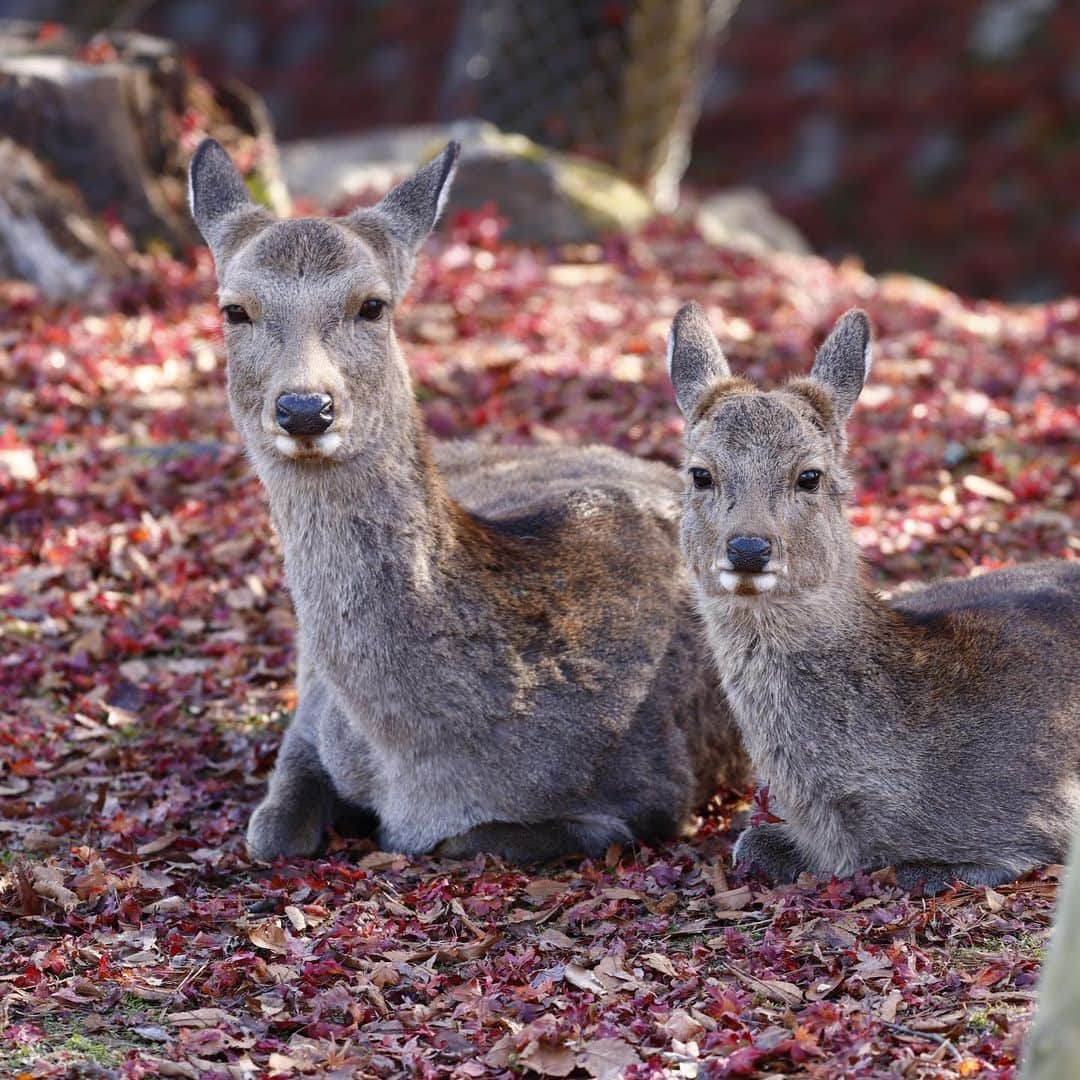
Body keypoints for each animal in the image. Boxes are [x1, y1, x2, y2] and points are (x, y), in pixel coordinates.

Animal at [185, 141, 747, 868]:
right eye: (234, 310)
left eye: (373, 305)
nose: (305, 407)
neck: (421, 763)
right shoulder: (312, 715)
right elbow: (270, 832)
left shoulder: (654, 786)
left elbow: (463, 842)